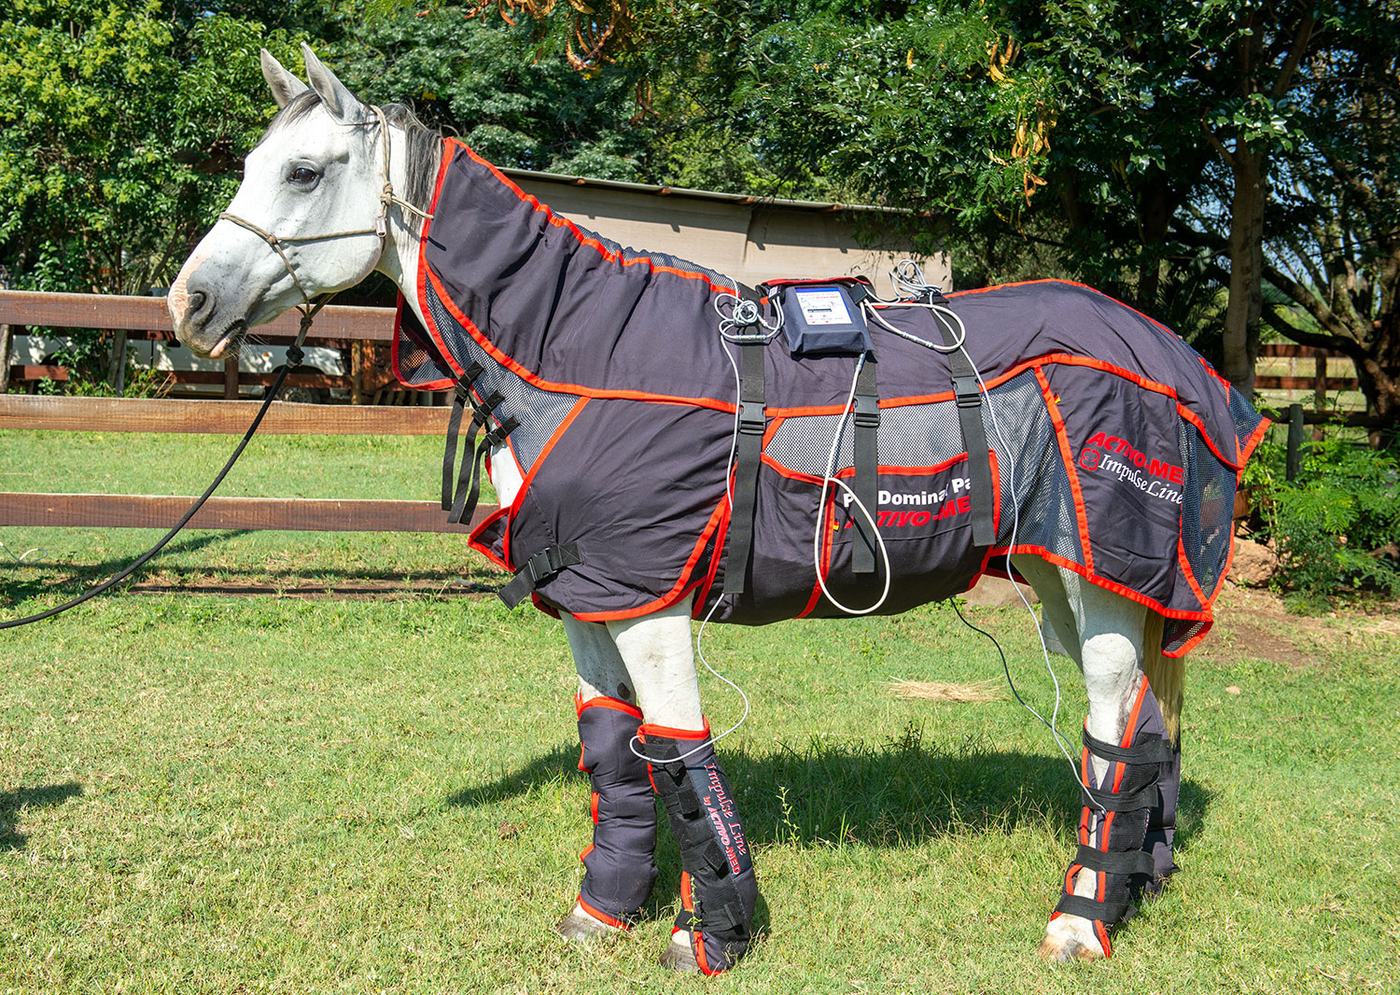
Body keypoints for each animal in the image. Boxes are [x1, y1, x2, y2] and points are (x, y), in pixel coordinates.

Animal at [168, 45, 1264, 974]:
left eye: (303, 172)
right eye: (255, 164)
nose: (187, 305)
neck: (579, 353)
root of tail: (1175, 359)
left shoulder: (650, 602)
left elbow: (680, 755)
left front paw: (711, 936)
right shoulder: (592, 596)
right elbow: (618, 755)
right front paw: (602, 912)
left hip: (1105, 575)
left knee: (1112, 720)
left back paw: (1079, 917)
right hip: (1064, 572)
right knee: (1148, 726)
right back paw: (1134, 883)